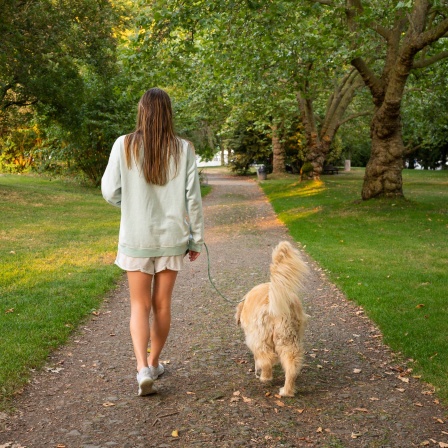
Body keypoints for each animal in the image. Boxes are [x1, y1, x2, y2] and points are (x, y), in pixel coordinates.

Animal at [234, 242, 308, 396]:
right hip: (288, 339)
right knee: (292, 365)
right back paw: (287, 391)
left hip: (261, 338)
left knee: (267, 358)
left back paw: (265, 378)